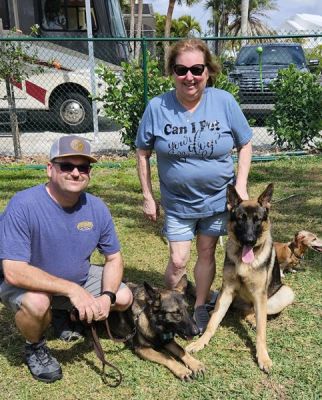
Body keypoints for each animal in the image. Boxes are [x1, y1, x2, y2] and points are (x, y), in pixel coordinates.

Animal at [186, 184, 294, 372]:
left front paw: (263, 357)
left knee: (256, 314)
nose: (249, 240)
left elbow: (261, 333)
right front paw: (201, 342)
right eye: (240, 219)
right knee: (239, 311)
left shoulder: (259, 295)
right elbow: (213, 323)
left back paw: (254, 320)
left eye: (257, 219)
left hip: (284, 294)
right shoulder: (227, 292)